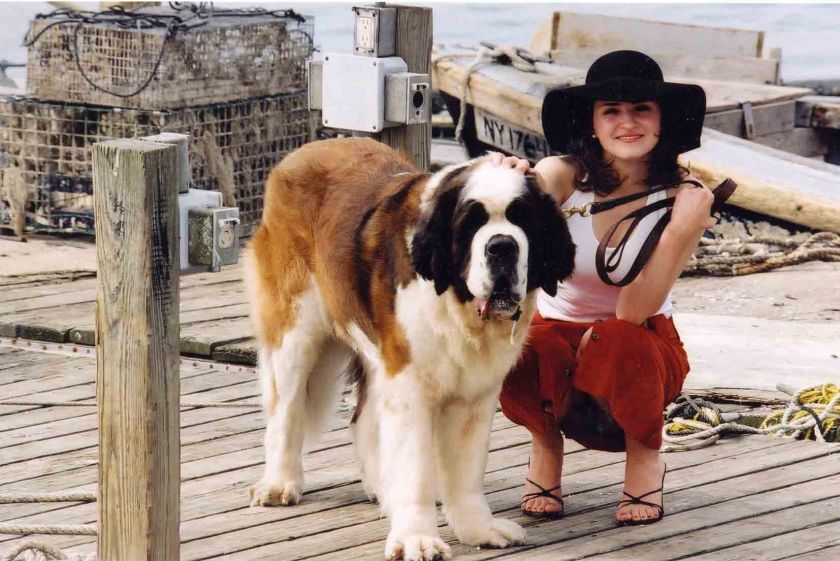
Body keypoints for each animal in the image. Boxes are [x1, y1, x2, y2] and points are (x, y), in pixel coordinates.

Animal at [245, 137, 574, 560]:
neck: (455, 303)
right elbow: (415, 465)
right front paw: (417, 538)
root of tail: (303, 150)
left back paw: (382, 488)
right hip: (295, 329)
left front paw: (478, 528)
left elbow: (466, 469)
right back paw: (279, 482)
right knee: (285, 409)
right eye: (471, 224)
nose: (501, 246)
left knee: (363, 419)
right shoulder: (410, 385)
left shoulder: (473, 395)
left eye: (524, 221)